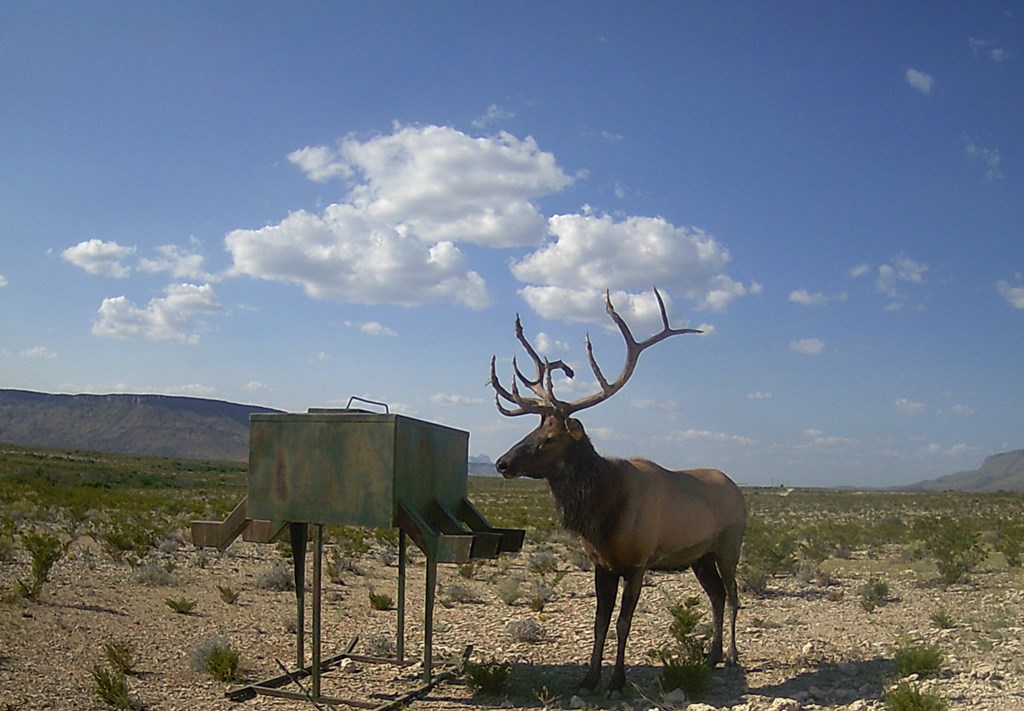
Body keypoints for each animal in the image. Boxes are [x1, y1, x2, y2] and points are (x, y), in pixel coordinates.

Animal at [487, 286, 745, 692]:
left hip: (729, 544)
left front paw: (617, 681)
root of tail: (739, 490)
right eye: (531, 430)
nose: (501, 463)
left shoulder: (638, 562)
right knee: (717, 596)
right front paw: (589, 677)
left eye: (550, 438)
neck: (603, 514)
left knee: (734, 596)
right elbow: (599, 623)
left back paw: (732, 656)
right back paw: (712, 655)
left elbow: (623, 623)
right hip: (700, 557)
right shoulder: (602, 564)